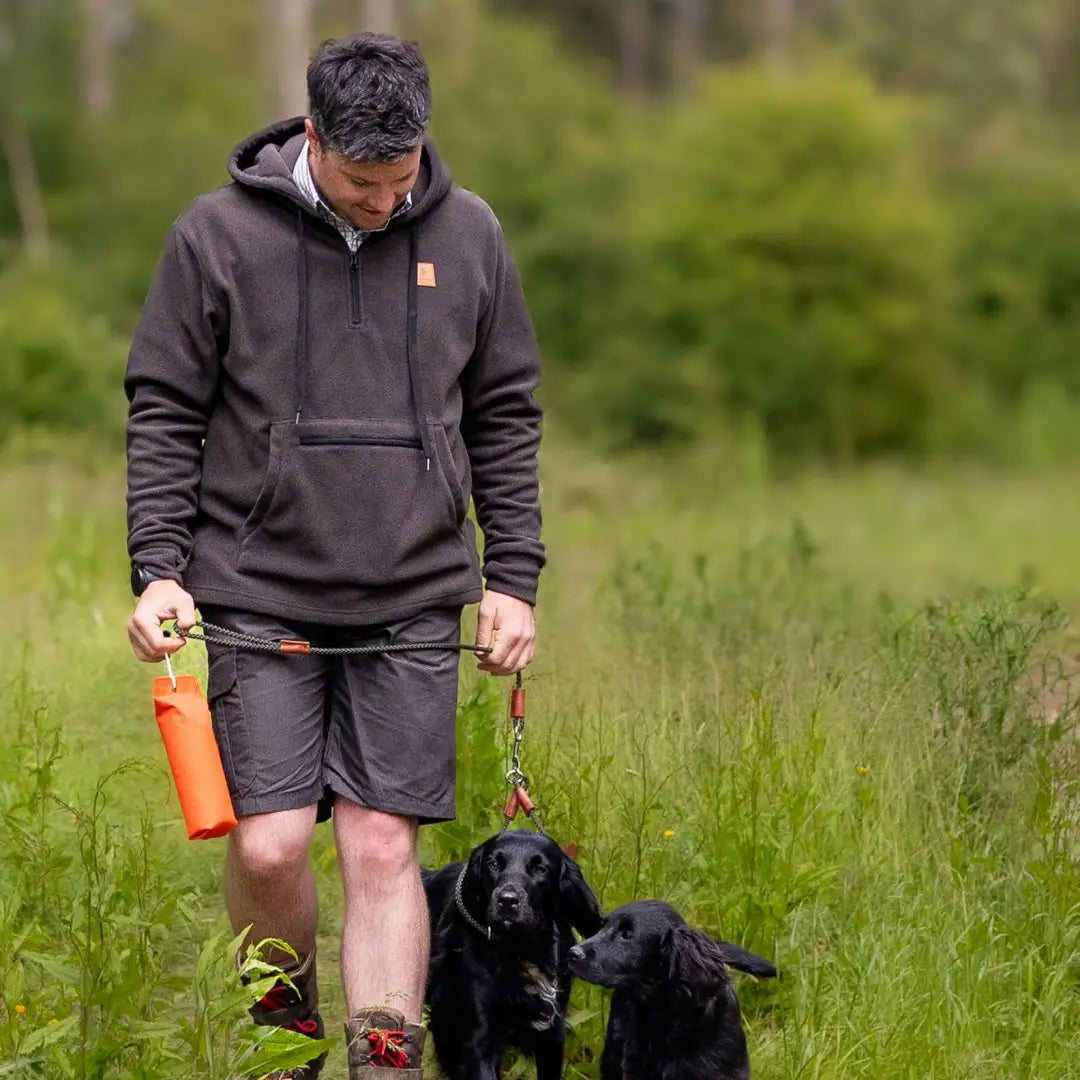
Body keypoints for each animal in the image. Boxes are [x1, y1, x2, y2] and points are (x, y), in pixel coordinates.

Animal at [421, 833, 609, 1080]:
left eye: (540, 868)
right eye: (493, 864)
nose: (507, 900)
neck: (522, 949)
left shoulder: (551, 1038)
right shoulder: (478, 1040)